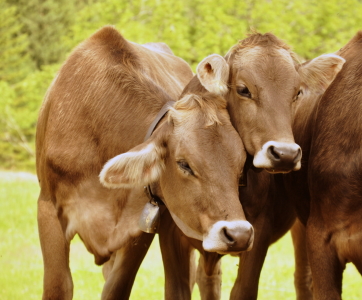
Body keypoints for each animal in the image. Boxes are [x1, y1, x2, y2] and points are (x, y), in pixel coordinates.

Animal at [35, 26, 253, 300]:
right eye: (184, 164)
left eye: (240, 167)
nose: (239, 234)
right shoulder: (48, 208)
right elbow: (58, 285)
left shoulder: (138, 229)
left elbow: (116, 288)